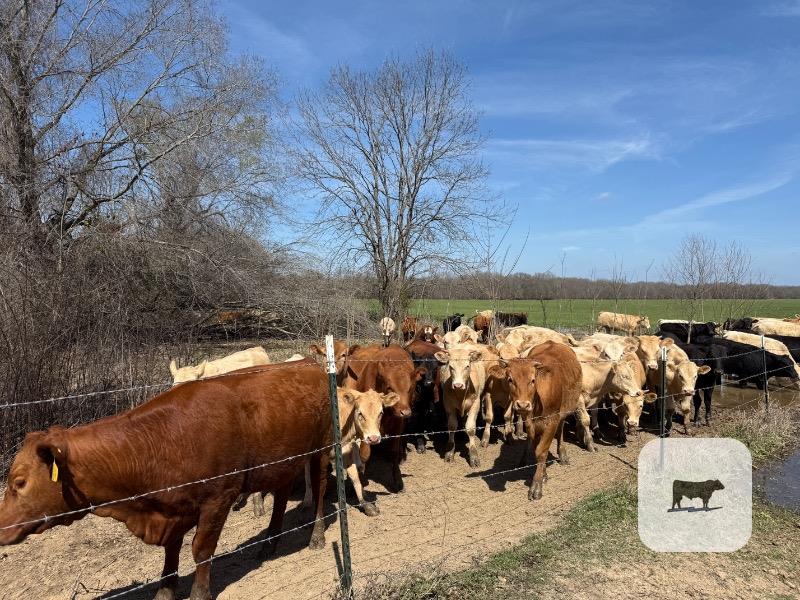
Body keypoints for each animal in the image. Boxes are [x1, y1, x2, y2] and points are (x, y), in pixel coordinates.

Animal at [0, 361, 332, 600]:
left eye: (19, 482)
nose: (1, 528)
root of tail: (308, 363)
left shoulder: (219, 497)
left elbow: (201, 549)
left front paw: (200, 594)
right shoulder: (174, 509)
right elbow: (172, 551)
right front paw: (165, 591)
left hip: (322, 450)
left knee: (319, 490)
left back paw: (315, 536)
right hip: (283, 461)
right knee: (281, 495)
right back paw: (270, 542)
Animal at [342, 344, 425, 492]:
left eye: (410, 388)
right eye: (390, 388)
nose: (405, 412)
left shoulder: (398, 424)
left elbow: (394, 452)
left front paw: (398, 480)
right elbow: (365, 453)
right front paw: (360, 478)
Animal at [509, 341, 582, 500]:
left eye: (533, 380)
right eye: (510, 380)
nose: (522, 405)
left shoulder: (552, 421)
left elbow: (541, 451)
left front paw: (536, 486)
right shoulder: (533, 424)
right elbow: (538, 449)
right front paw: (543, 475)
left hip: (564, 412)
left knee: (560, 430)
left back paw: (563, 454)